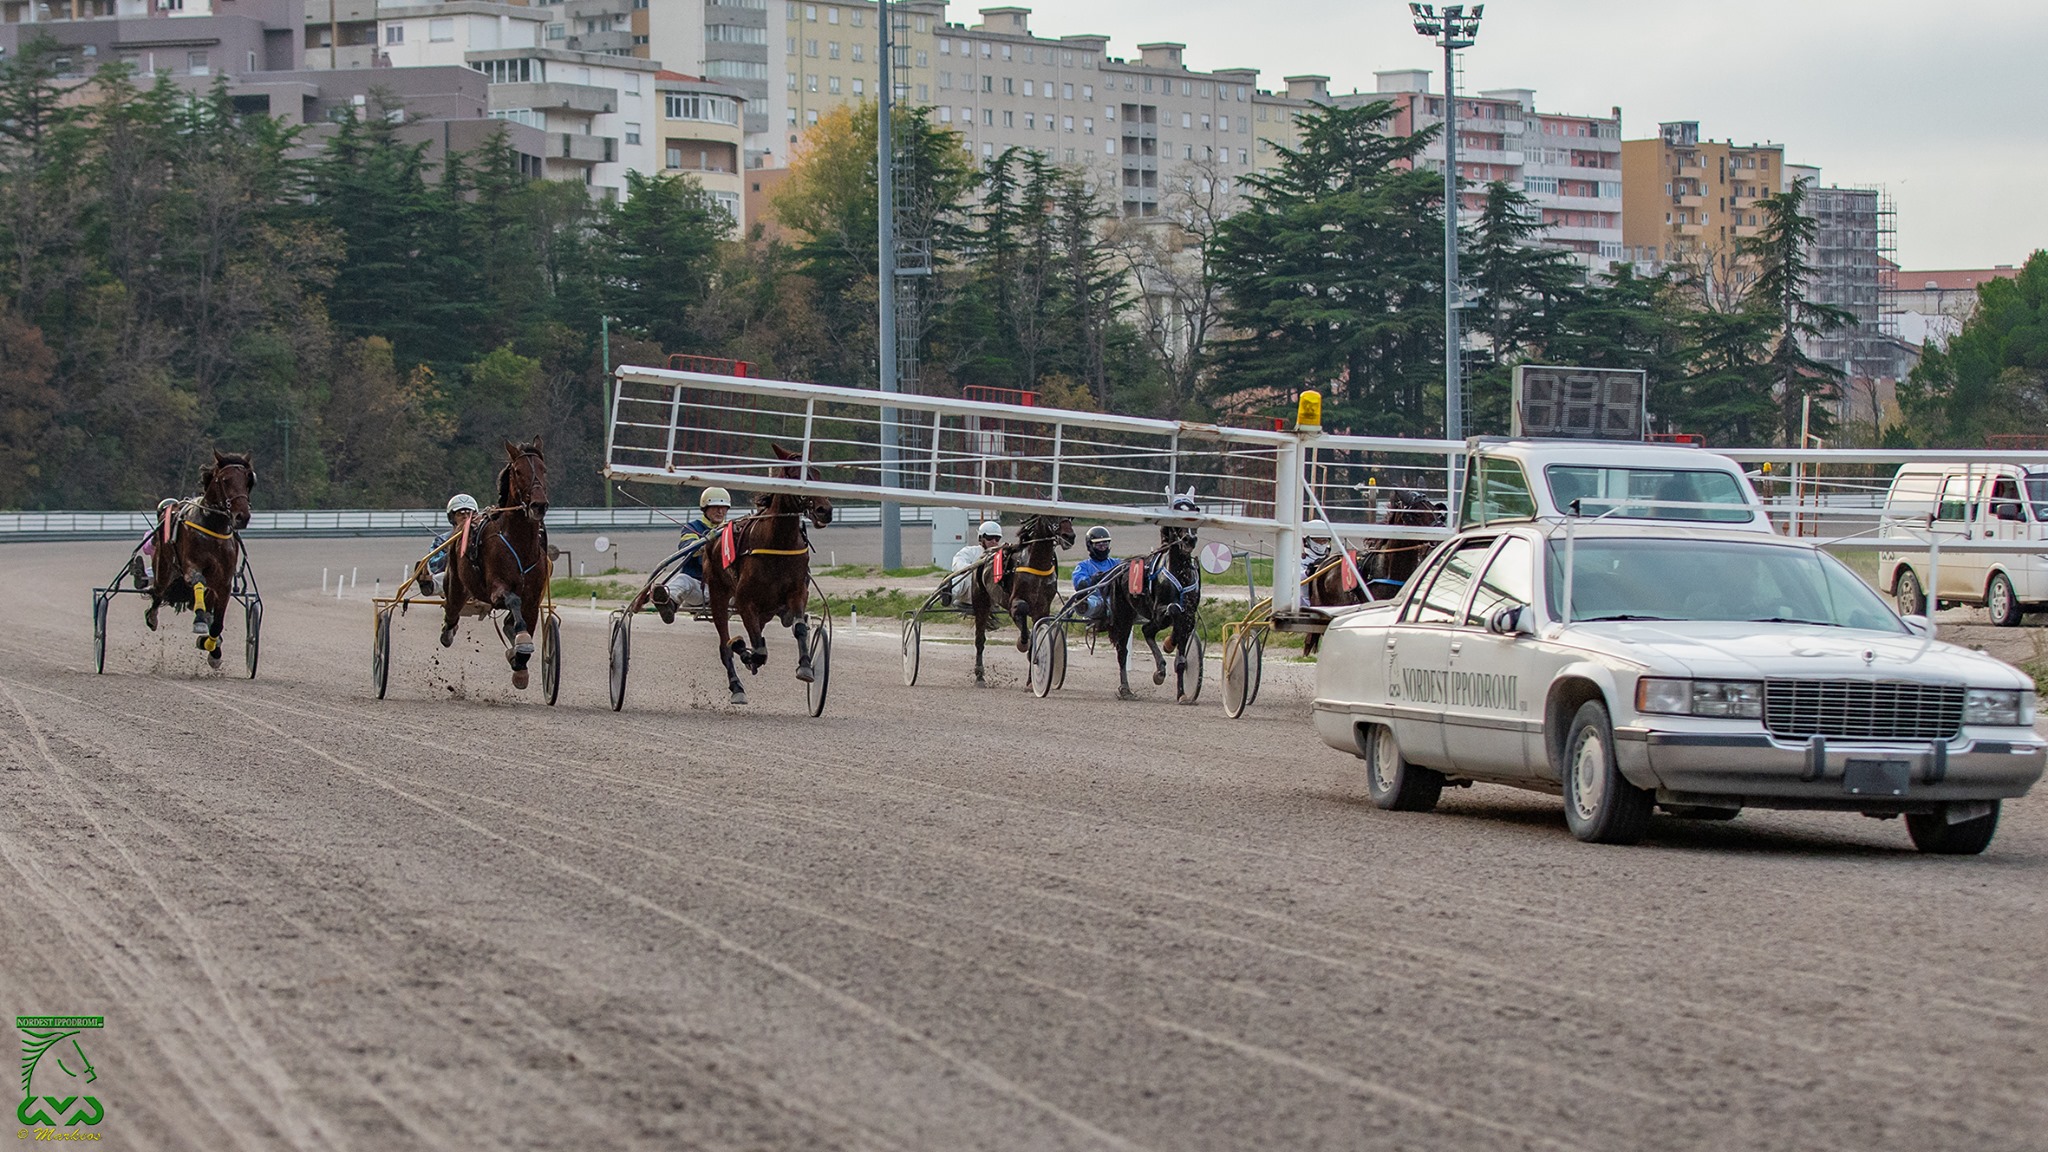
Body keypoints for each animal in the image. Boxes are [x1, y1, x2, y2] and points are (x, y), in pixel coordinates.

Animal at [142, 448, 253, 664]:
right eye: (225, 480)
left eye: (247, 479)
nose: (242, 516)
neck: (213, 528)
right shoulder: (191, 566)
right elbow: (198, 580)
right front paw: (200, 621)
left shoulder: (224, 582)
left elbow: (218, 622)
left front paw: (212, 648)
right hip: (163, 567)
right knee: (158, 592)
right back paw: (152, 616)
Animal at [442, 434, 552, 684]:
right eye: (518, 471)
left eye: (544, 469)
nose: (539, 505)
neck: (520, 545)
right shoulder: (496, 588)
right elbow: (513, 601)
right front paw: (520, 647)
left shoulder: (533, 598)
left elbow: (525, 623)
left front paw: (519, 659)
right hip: (456, 586)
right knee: (451, 612)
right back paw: (448, 633)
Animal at [704, 444, 831, 705]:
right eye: (794, 475)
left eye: (818, 473)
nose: (825, 510)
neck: (777, 543)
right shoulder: (745, 600)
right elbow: (758, 650)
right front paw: (746, 653)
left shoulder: (797, 592)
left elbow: (799, 628)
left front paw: (805, 667)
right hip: (718, 592)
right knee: (725, 644)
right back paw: (737, 683)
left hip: (767, 608)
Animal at [970, 510, 1081, 680]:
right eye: (1051, 515)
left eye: (1070, 516)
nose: (1069, 536)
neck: (1037, 563)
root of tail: (985, 554)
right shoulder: (1014, 603)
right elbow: (1022, 612)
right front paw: (1023, 643)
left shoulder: (1042, 608)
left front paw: (1032, 675)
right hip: (981, 600)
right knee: (980, 638)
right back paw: (979, 674)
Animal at [1114, 491, 1204, 701]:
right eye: (1175, 513)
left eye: (1195, 510)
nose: (1189, 539)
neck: (1180, 575)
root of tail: (1122, 565)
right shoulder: (1160, 610)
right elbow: (1174, 609)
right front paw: (1169, 643)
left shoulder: (1189, 613)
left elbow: (1181, 658)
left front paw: (1182, 694)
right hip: (1124, 616)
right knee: (1125, 649)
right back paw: (1126, 688)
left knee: (1148, 631)